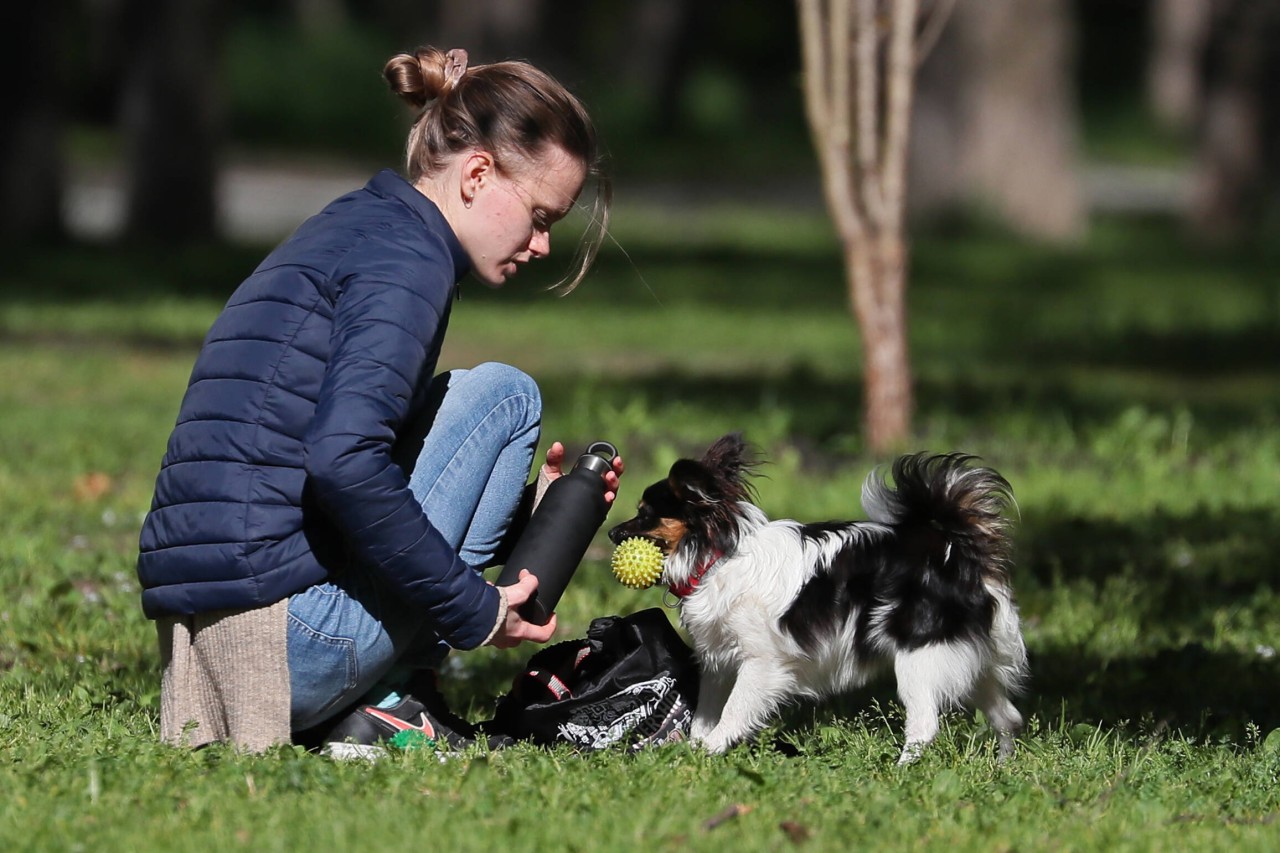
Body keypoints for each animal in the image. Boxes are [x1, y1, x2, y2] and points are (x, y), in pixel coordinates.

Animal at [609, 435, 1029, 758]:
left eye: (645, 515)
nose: (612, 533)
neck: (717, 558)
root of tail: (955, 551)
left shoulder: (761, 664)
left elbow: (733, 712)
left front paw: (711, 750)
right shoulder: (718, 661)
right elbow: (704, 714)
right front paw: (695, 748)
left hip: (919, 659)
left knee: (925, 725)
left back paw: (902, 771)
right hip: (972, 665)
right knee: (1008, 718)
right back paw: (1002, 767)